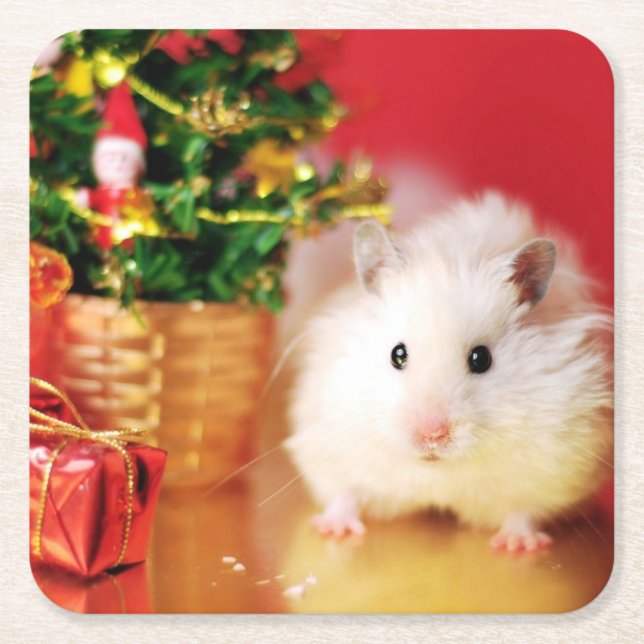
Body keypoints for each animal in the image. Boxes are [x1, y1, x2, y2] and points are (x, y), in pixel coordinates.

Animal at [286, 191, 613, 552]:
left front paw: (516, 545)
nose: (432, 435)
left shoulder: (558, 464)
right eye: (397, 354)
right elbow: (345, 493)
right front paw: (332, 529)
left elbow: (524, 509)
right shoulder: (330, 444)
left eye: (481, 359)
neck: (438, 470)